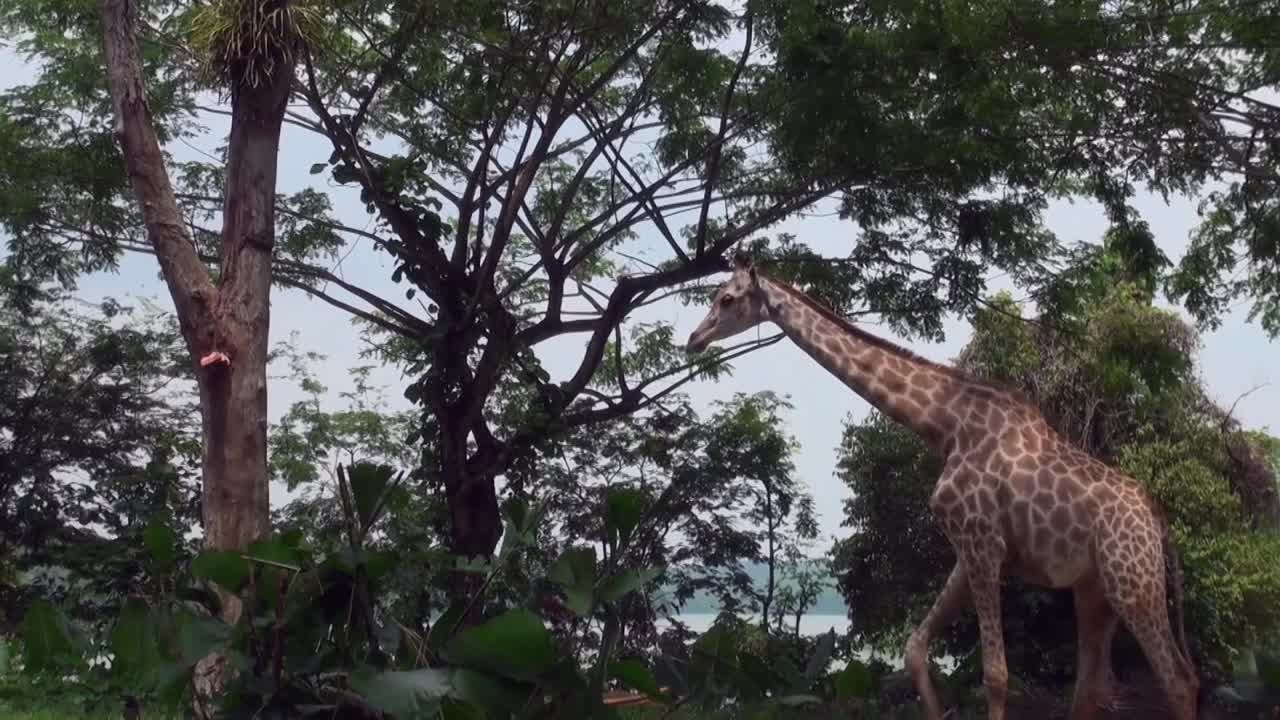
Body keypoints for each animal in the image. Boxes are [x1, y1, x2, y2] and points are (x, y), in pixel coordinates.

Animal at [686, 252, 1192, 717]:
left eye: (726, 298)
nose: (694, 338)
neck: (945, 426)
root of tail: (1158, 522)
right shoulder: (969, 549)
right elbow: (914, 648)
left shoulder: (983, 545)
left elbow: (996, 675)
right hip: (1094, 591)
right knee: (1092, 689)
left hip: (1133, 582)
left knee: (1179, 682)